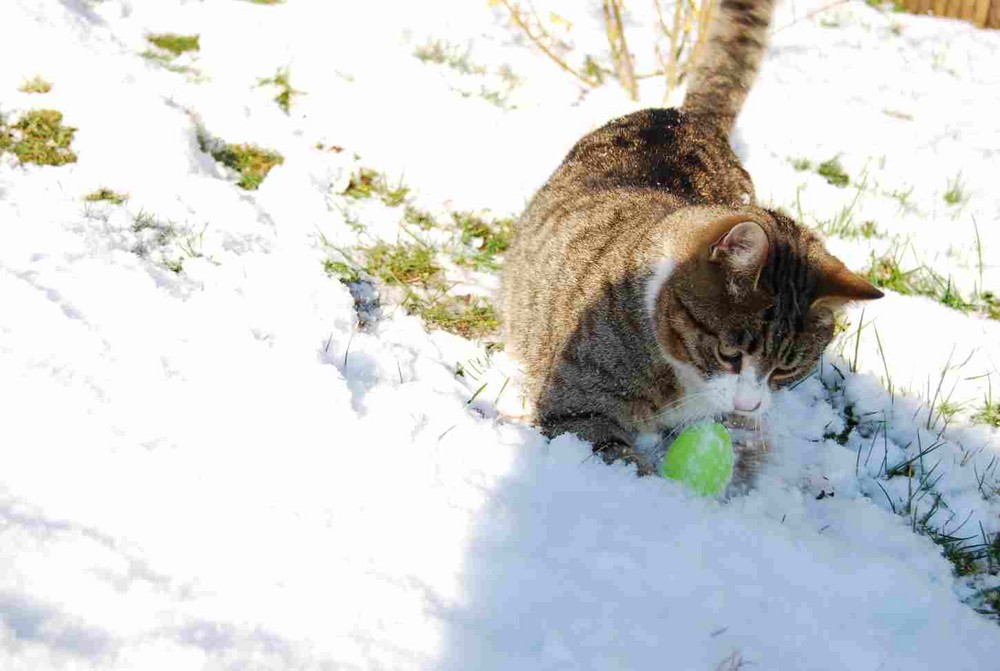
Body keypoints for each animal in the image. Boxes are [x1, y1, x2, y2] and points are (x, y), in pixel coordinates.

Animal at [500, 0, 884, 484]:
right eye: (729, 353)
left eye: (787, 368)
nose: (748, 405)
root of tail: (687, 118)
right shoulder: (576, 406)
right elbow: (623, 461)